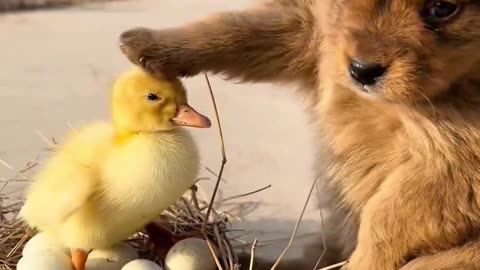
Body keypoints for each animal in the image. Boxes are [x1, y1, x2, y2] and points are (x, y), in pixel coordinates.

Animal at [118, 1, 480, 268]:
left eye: (442, 8)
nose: (362, 71)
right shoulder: (313, 26)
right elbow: (238, 28)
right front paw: (151, 46)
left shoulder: (454, 167)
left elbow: (386, 218)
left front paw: (362, 262)